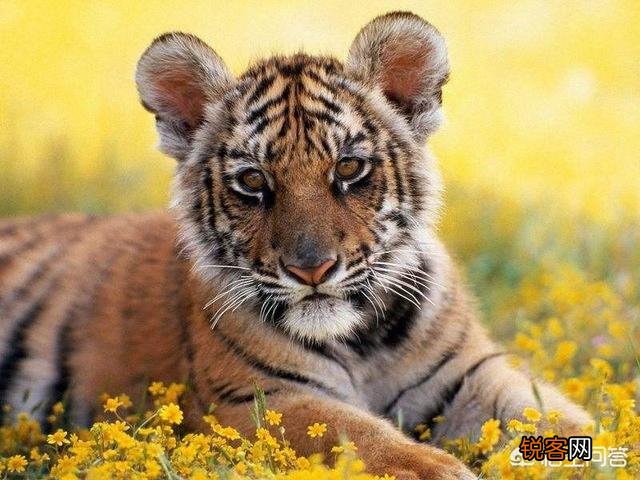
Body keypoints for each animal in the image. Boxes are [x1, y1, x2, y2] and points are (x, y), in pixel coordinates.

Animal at [0, 11, 591, 479]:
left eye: (348, 169)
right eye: (253, 181)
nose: (312, 270)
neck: (363, 341)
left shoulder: (468, 373)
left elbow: (557, 417)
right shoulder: (259, 398)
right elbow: (362, 436)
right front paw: (442, 470)